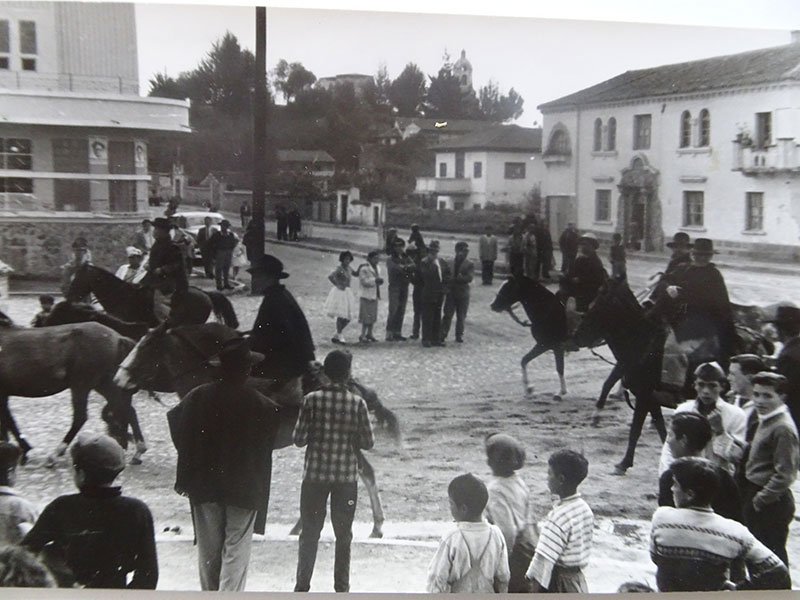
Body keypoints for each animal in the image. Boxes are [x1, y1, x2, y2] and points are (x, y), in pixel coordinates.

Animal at [0, 316, 139, 466]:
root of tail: (118, 337)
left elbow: (8, 422)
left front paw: (23, 451)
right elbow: (8, 422)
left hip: (81, 385)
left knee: (81, 417)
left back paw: (54, 455)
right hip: (101, 384)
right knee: (128, 410)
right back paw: (137, 451)